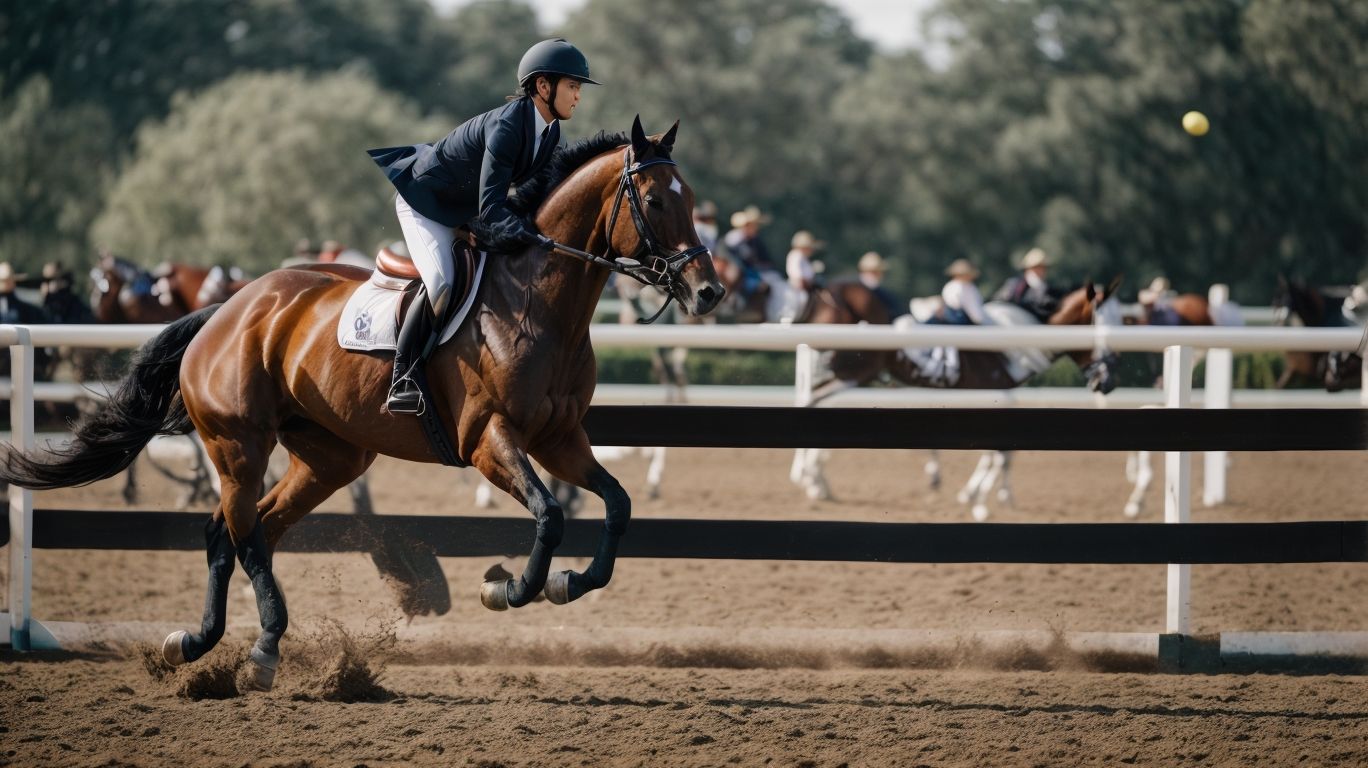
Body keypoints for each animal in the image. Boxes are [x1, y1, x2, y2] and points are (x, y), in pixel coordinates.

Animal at [0, 118, 723, 690]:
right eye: (654, 200)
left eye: (691, 200)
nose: (709, 291)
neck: (540, 302)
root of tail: (228, 309)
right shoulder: (489, 440)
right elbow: (548, 514)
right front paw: (505, 587)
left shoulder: (558, 438)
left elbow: (617, 506)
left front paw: (564, 583)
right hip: (239, 442)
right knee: (245, 533)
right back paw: (256, 655)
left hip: (329, 457)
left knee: (238, 530)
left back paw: (203, 644)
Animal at [790, 279, 1123, 514]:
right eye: (1102, 325)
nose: (1108, 381)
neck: (1010, 344)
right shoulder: (989, 394)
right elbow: (999, 452)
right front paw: (979, 498)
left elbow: (1001, 451)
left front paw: (983, 494)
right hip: (852, 372)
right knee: (808, 402)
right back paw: (809, 480)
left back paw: (817, 483)